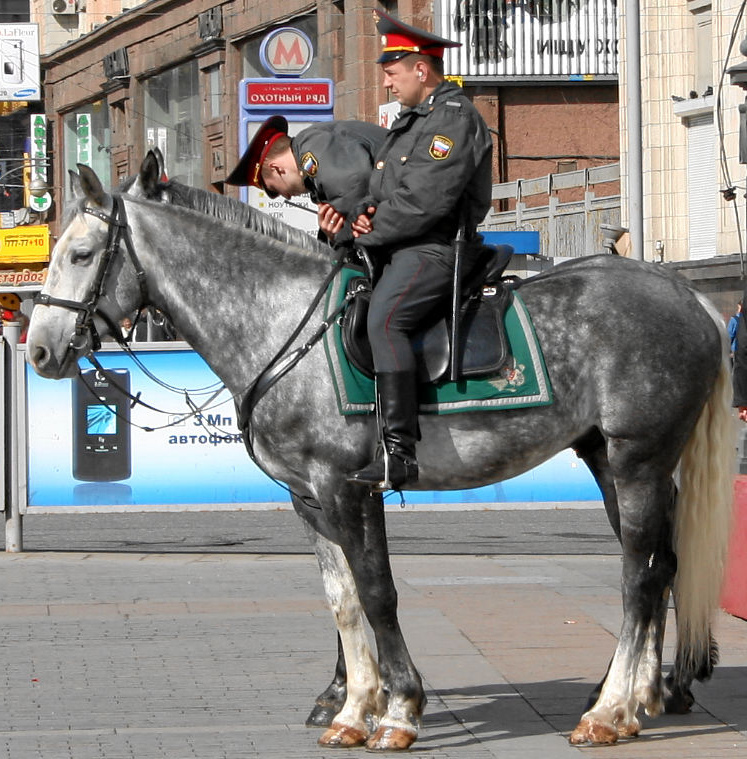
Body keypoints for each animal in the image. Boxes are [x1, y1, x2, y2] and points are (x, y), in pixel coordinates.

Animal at [26, 163, 732, 752]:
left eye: (81, 255)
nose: (38, 350)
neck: (283, 324)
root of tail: (686, 295)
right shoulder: (309, 498)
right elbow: (343, 599)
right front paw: (353, 707)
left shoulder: (348, 488)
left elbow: (377, 592)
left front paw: (399, 710)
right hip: (608, 459)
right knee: (660, 566)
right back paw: (641, 695)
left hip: (639, 459)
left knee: (639, 576)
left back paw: (609, 711)